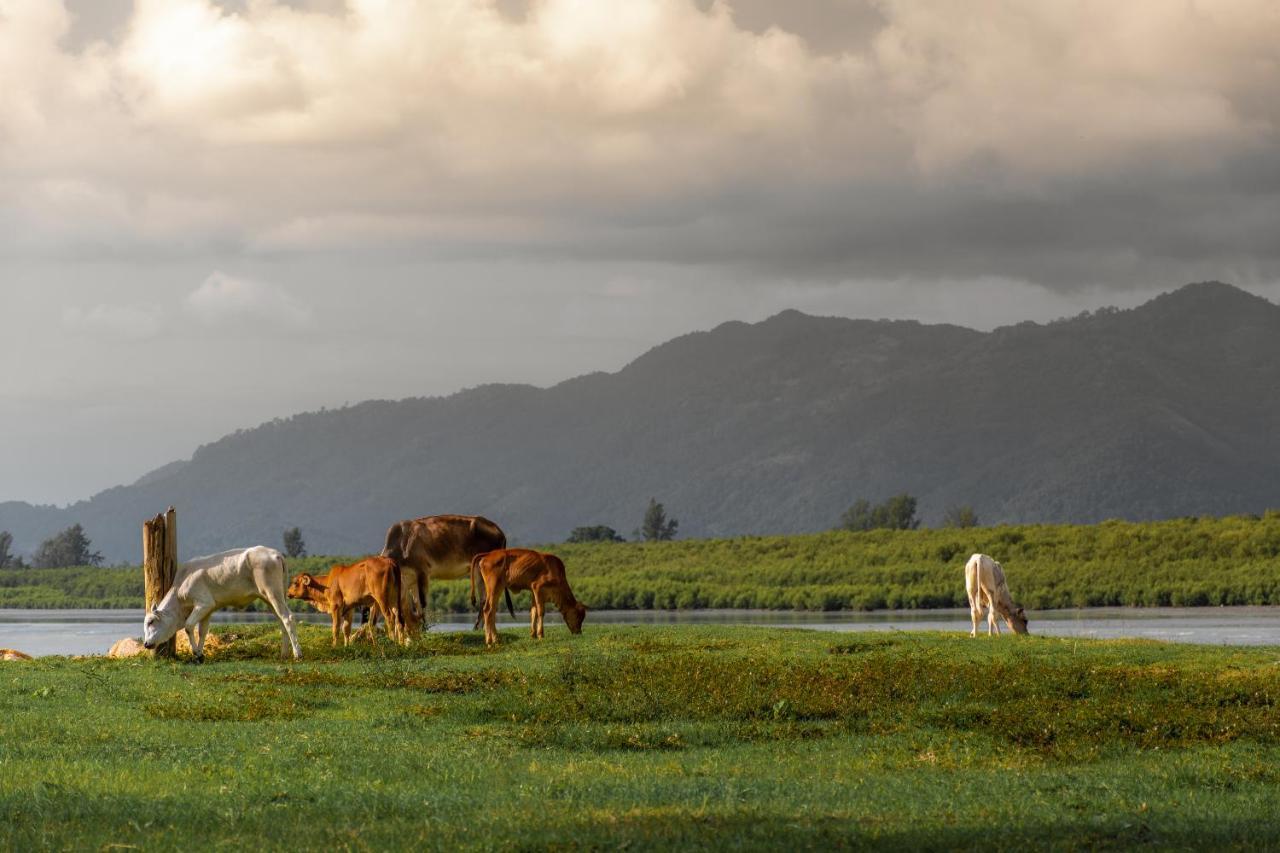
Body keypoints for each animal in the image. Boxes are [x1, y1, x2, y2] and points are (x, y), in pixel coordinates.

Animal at [144, 548, 302, 660]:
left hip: (273, 593)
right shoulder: (208, 609)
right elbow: (202, 631)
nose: (145, 644)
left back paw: (297, 654)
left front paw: (196, 652)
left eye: (151, 622)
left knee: (288, 618)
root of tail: (276, 554)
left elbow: (189, 626)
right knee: (281, 620)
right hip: (270, 598)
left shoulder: (204, 603)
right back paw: (284, 654)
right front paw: (200, 654)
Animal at [376, 512, 506, 637]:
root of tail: (499, 530)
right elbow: (415, 604)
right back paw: (481, 627)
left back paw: (477, 627)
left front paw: (424, 628)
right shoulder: (410, 579)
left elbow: (422, 602)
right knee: (485, 597)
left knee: (487, 598)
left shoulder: (422, 571)